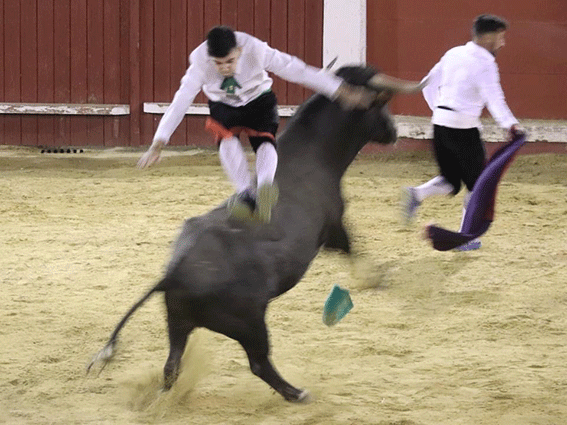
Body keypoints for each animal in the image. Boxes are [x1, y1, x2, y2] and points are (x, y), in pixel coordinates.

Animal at [90, 66, 400, 400]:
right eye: (381, 104)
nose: (394, 132)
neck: (311, 154)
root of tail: (173, 273)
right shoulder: (334, 226)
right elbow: (352, 247)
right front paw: (377, 278)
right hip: (250, 323)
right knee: (259, 363)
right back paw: (297, 393)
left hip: (178, 323)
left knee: (171, 366)